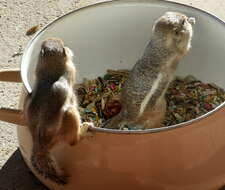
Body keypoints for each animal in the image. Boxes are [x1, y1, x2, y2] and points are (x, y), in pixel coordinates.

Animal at [23, 37, 92, 185]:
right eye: (63, 45)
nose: (69, 48)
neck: (51, 68)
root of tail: (40, 146)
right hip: (70, 117)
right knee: (73, 142)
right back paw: (84, 130)